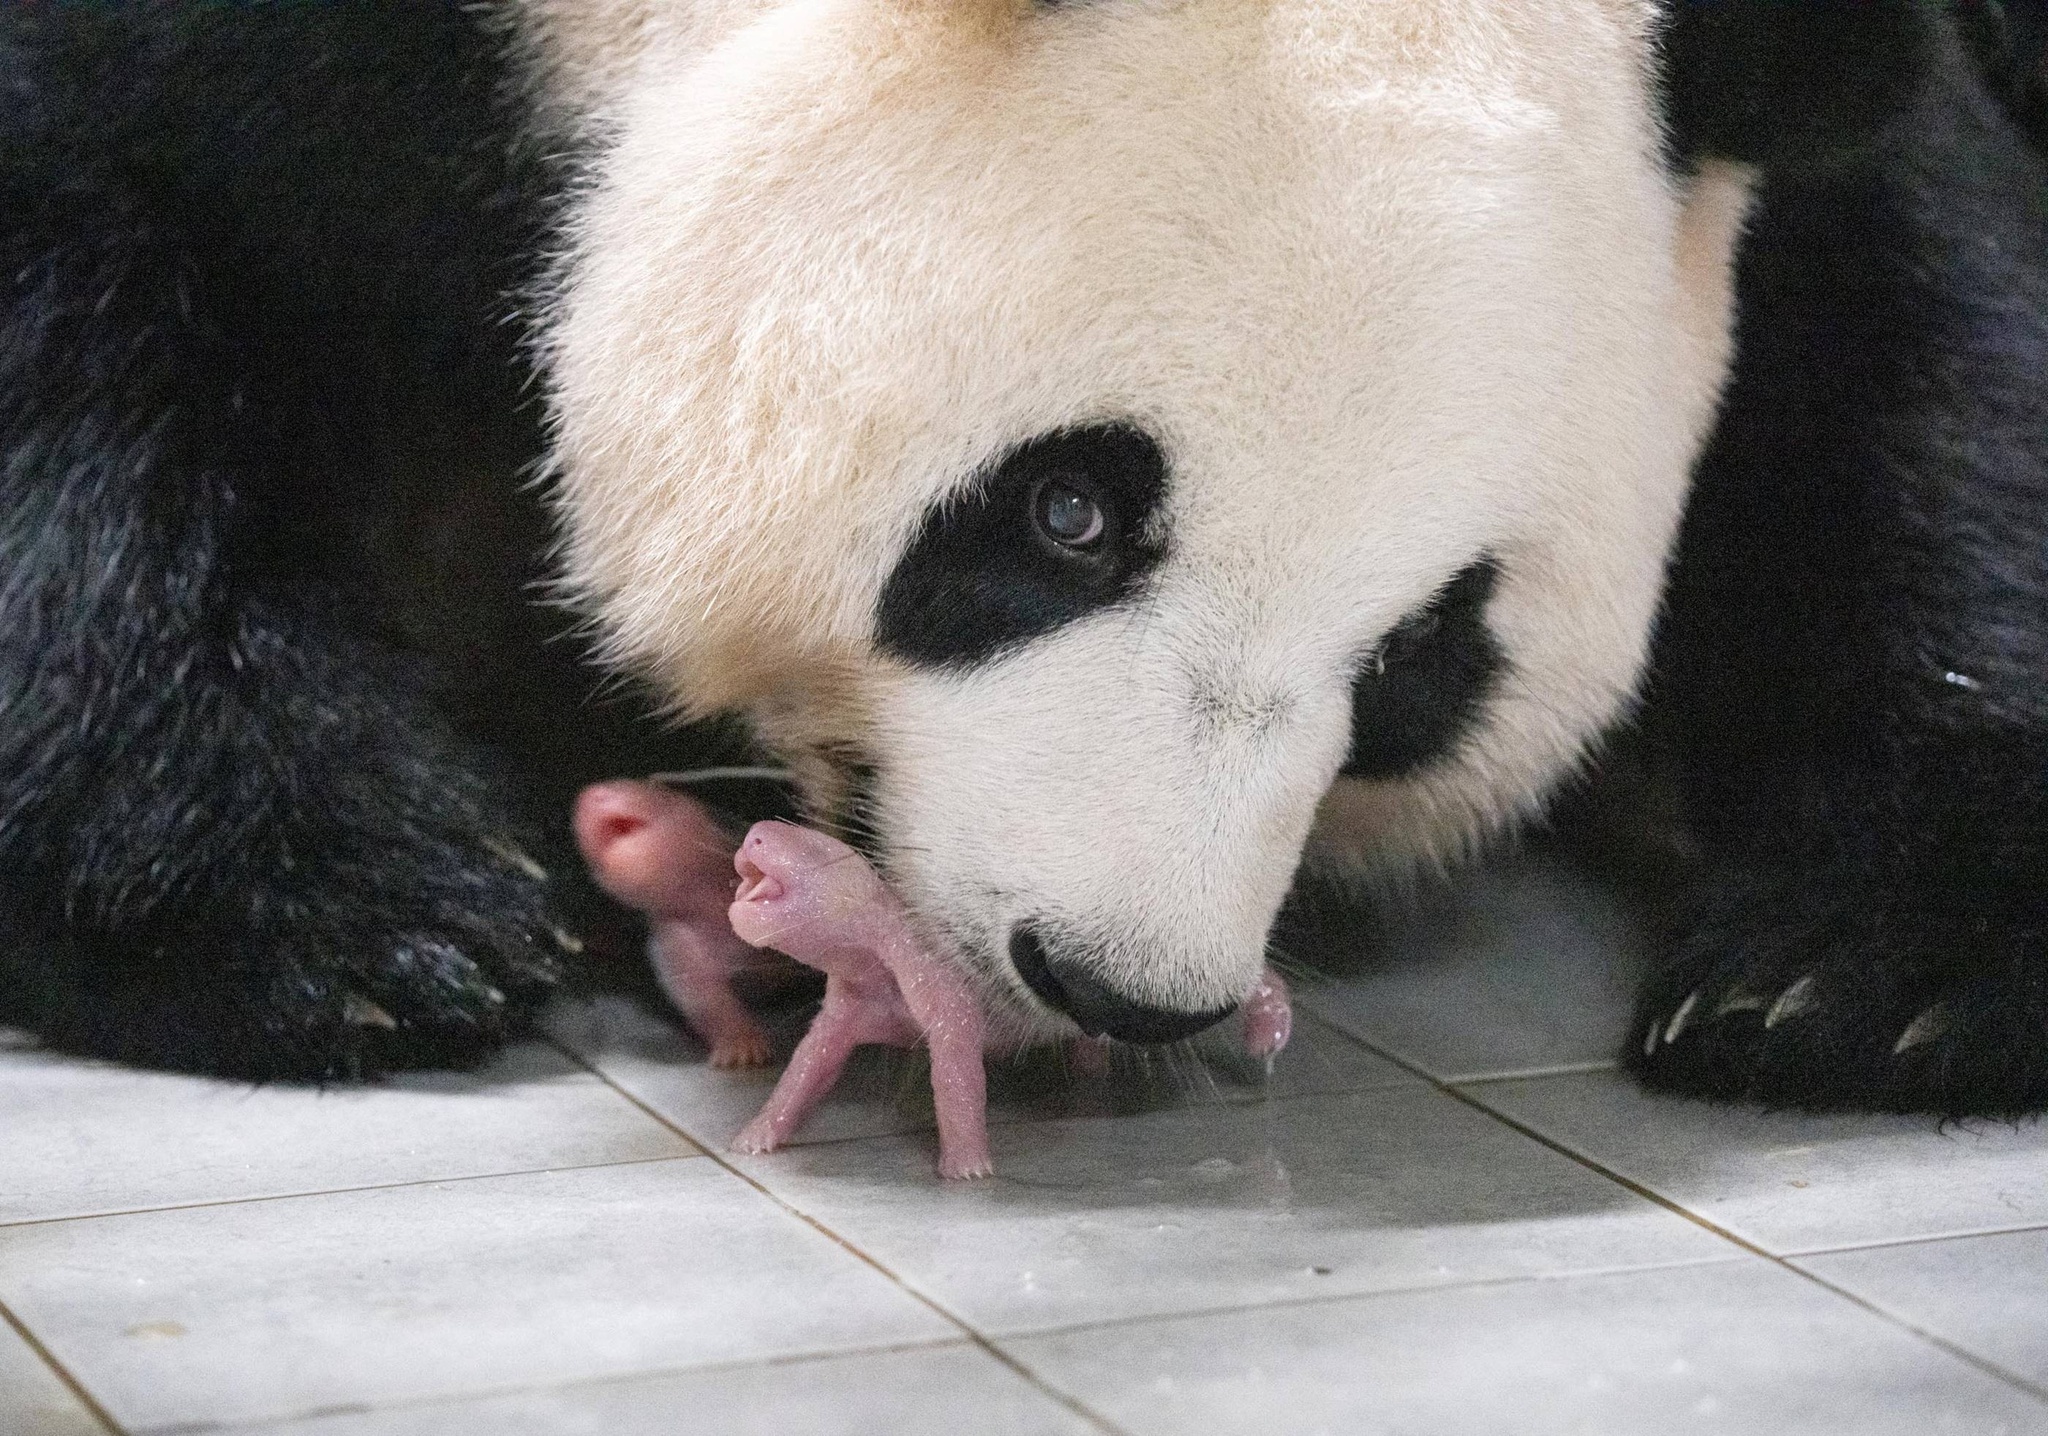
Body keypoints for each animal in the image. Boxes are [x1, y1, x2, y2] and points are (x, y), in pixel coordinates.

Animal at [4, 0, 2048, 1114]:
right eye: (1069, 512)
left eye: (1422, 659)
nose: (1119, 982)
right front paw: (341, 911)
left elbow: (1921, 345)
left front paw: (1867, 972)